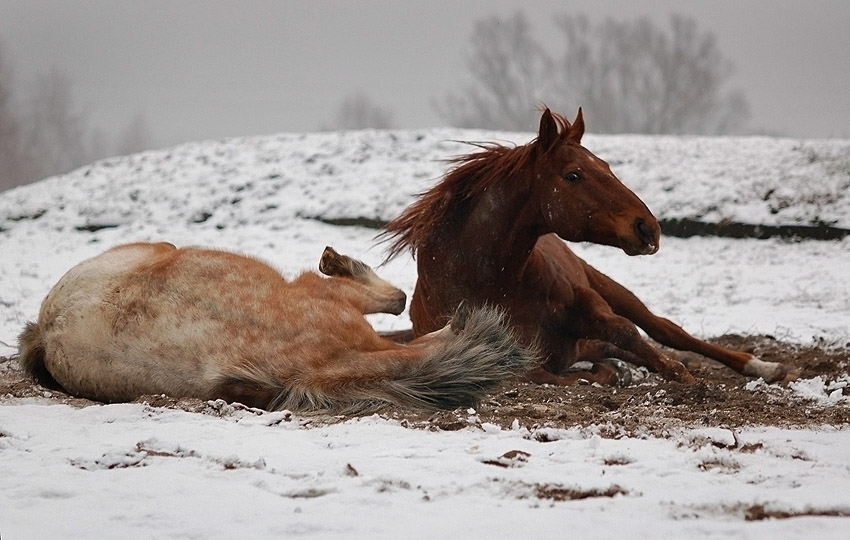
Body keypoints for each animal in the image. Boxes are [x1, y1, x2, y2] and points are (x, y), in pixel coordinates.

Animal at [380, 109, 784, 386]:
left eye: (604, 164)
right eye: (573, 175)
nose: (647, 228)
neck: (492, 281)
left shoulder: (588, 302)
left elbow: (626, 331)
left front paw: (677, 372)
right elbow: (546, 373)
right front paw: (614, 374)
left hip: (614, 289)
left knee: (666, 331)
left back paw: (762, 366)